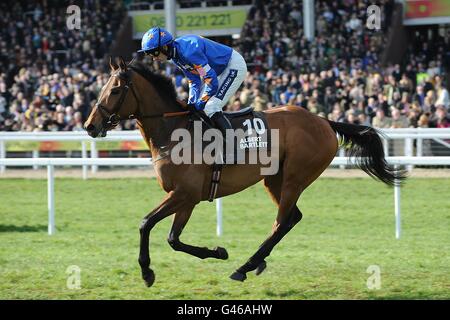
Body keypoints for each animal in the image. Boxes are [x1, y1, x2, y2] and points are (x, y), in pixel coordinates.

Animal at [84, 57, 408, 288]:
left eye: (115, 90)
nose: (89, 125)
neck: (173, 131)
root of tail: (324, 121)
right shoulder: (187, 198)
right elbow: (173, 239)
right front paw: (216, 251)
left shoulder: (184, 193)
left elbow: (146, 223)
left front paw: (147, 271)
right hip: (274, 179)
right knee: (292, 218)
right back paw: (256, 263)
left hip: (294, 177)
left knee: (282, 221)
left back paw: (245, 267)